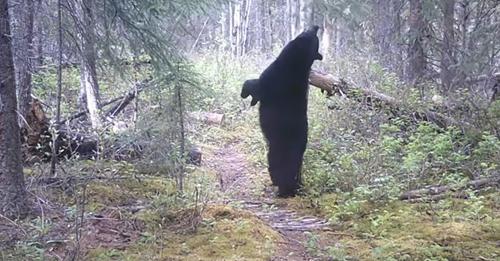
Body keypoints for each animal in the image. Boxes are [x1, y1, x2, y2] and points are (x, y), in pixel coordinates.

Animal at [243, 25, 322, 195]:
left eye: (313, 38)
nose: (315, 26)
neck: (295, 63)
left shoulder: (273, 79)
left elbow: (255, 85)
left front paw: (245, 92)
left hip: (279, 151)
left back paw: (284, 190)